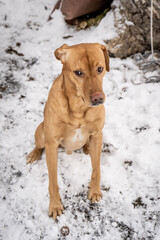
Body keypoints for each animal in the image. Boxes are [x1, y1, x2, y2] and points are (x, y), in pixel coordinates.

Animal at [26, 43, 109, 219]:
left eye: (100, 69)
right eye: (78, 72)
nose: (98, 98)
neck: (78, 107)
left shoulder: (97, 134)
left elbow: (96, 169)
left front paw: (94, 190)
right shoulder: (51, 144)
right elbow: (53, 181)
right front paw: (55, 205)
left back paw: (86, 147)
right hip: (42, 131)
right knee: (39, 145)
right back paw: (34, 154)